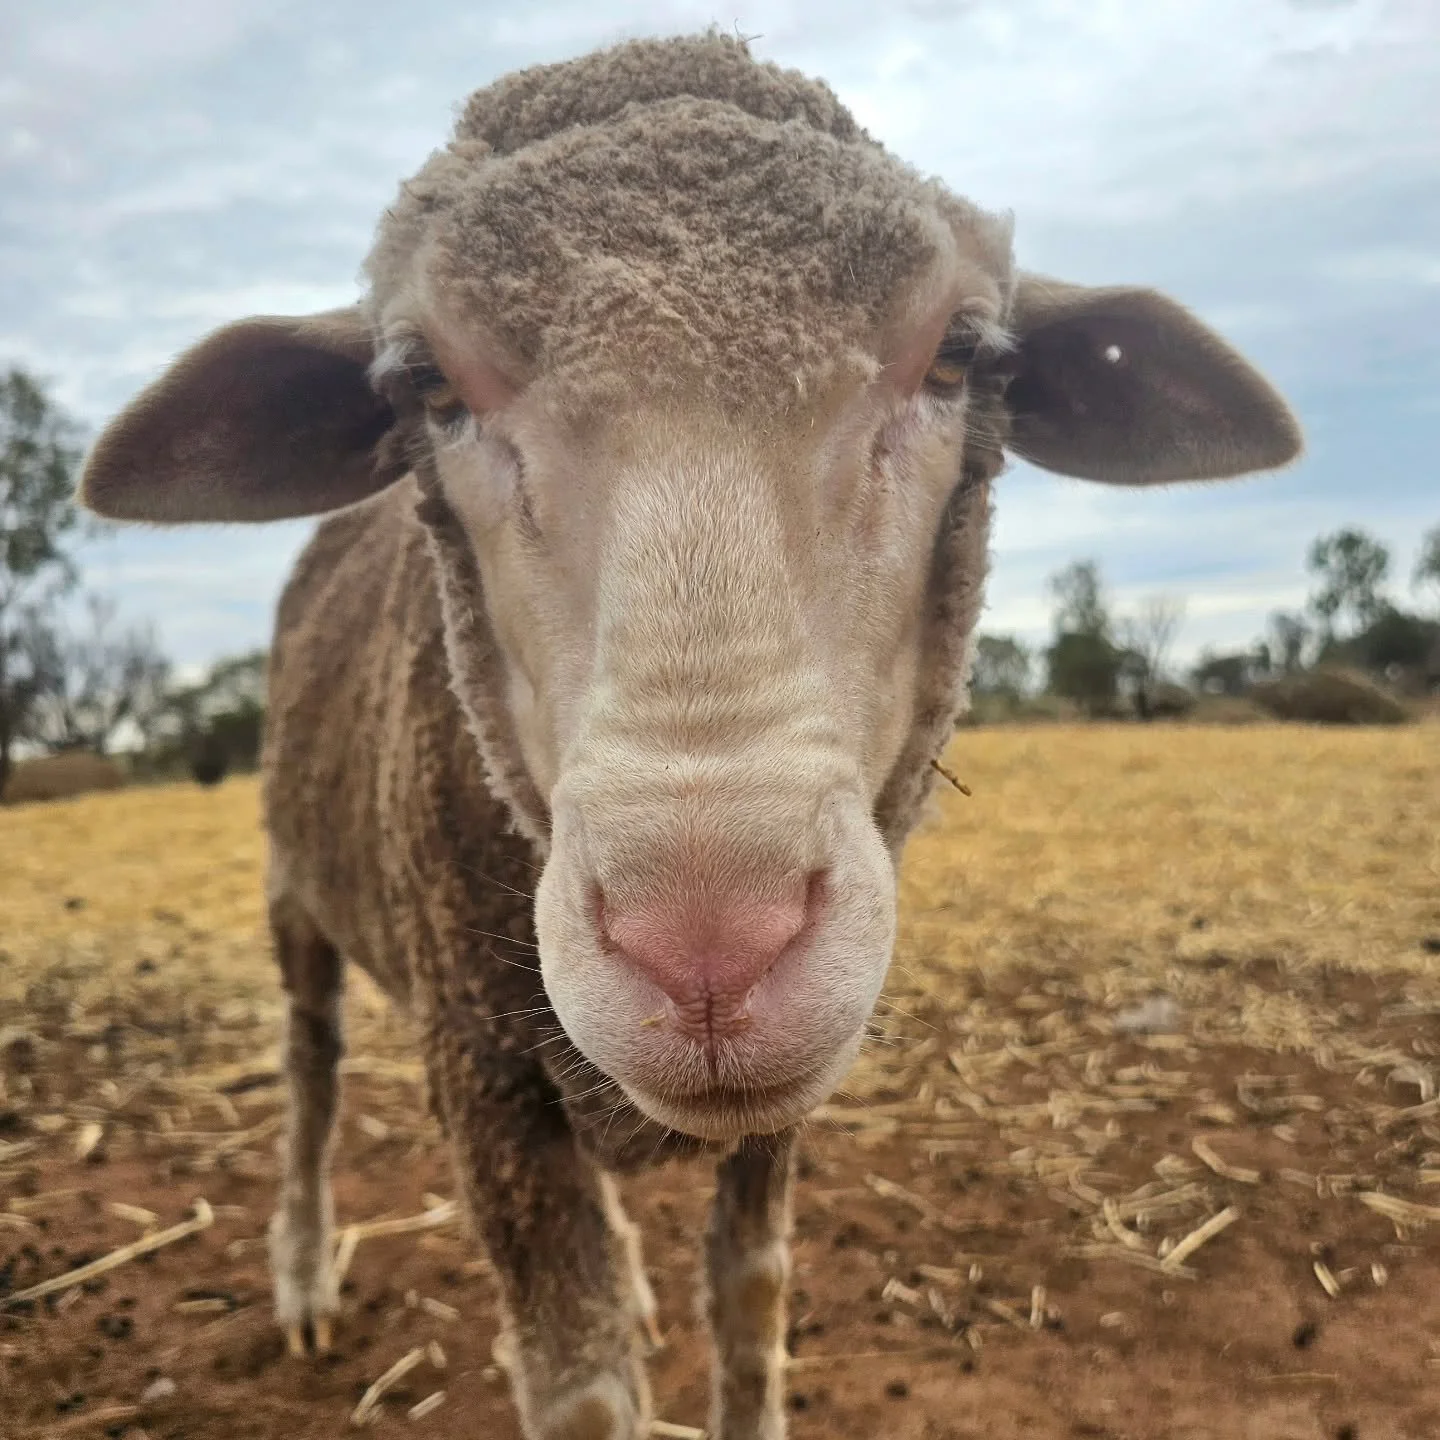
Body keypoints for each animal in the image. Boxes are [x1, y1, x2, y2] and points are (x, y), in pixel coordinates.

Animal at [78, 32, 1301, 1440]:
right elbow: (582, 1387)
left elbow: (752, 1301)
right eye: (426, 385)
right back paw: (300, 1274)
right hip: (298, 891)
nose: (712, 946)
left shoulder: (776, 1106)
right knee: (310, 1068)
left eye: (957, 357)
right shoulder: (481, 1072)